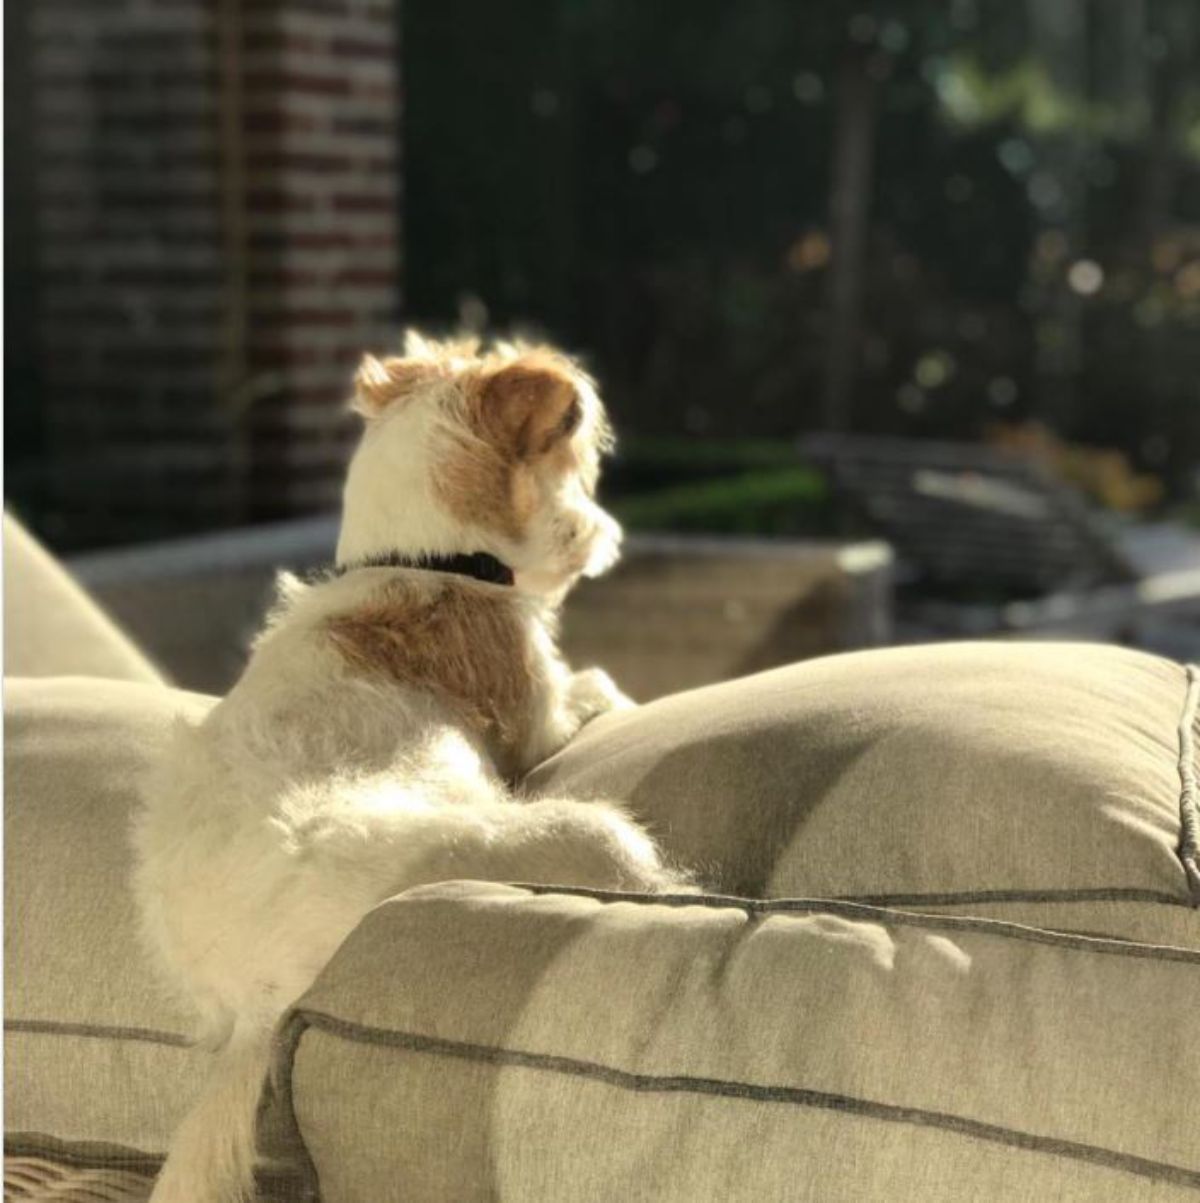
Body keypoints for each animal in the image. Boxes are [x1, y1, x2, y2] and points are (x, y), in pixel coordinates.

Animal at [134, 332, 687, 1203]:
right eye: (573, 462)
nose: (606, 533)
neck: (433, 559)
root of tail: (259, 1000)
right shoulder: (539, 714)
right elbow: (592, 692)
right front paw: (615, 688)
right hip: (580, 835)